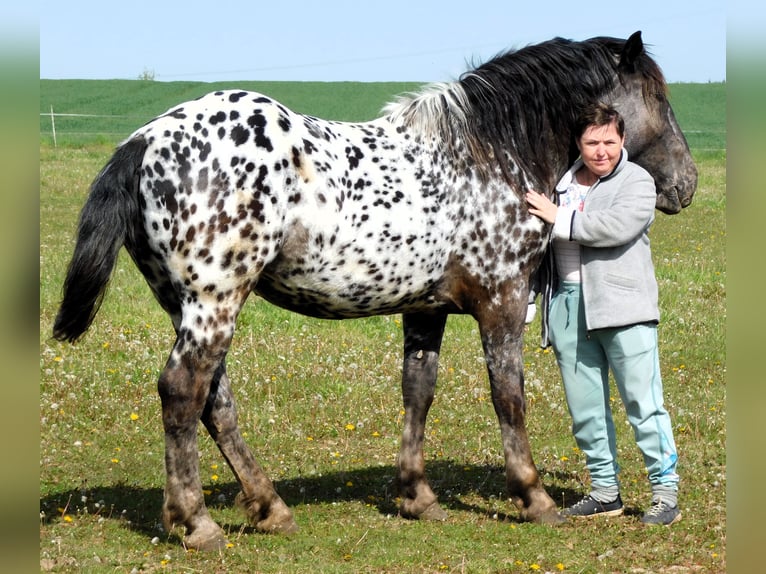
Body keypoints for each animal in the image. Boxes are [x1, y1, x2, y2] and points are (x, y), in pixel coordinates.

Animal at [51, 32, 700, 552]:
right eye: (659, 97)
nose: (685, 184)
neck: (488, 154)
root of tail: (144, 141)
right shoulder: (503, 301)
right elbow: (508, 397)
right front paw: (534, 498)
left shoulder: (425, 310)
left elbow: (418, 391)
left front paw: (417, 496)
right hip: (214, 302)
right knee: (184, 392)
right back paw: (197, 522)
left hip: (187, 304)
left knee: (215, 401)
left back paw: (270, 508)